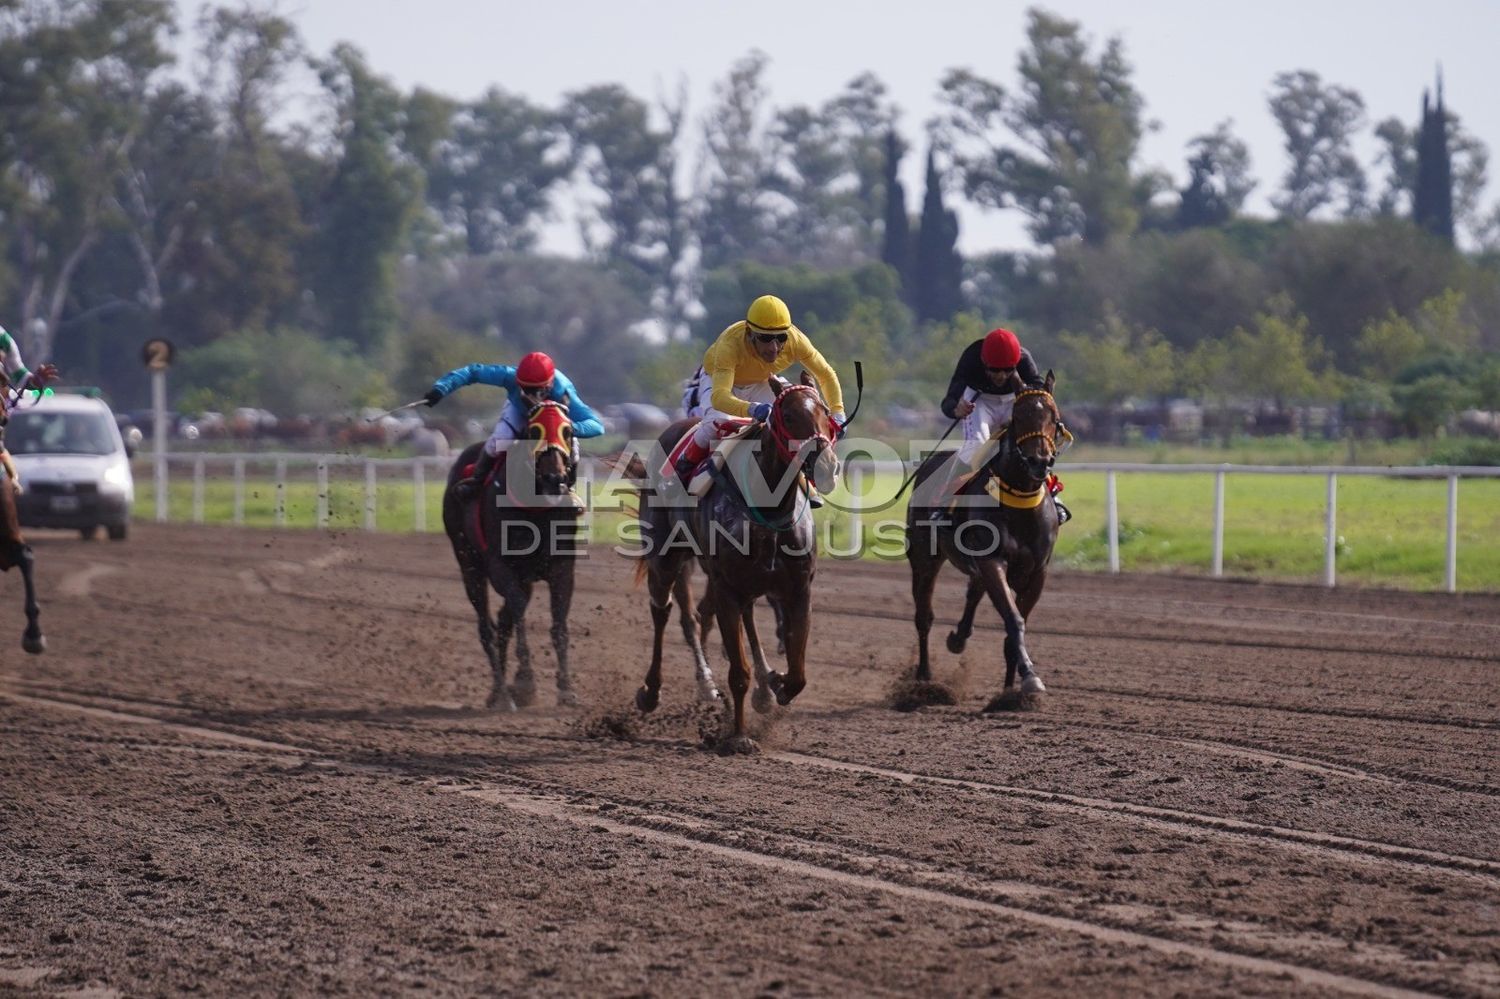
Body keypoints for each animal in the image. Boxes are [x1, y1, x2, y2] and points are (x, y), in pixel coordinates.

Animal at [438, 396, 579, 708]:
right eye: (533, 430)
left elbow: (559, 626)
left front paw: (566, 689)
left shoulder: (562, 568)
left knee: (502, 623)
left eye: (568, 431)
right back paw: (502, 693)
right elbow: (519, 617)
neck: (536, 509)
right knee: (487, 628)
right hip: (470, 565)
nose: (554, 478)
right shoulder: (500, 567)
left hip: (524, 578)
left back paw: (497, 692)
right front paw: (526, 682)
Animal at [636, 378, 846, 750]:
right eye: (788, 416)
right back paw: (653, 691)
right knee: (663, 611)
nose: (824, 466)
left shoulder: (798, 589)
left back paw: (764, 687)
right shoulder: (725, 588)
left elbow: (798, 672)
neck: (770, 508)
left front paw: (777, 684)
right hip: (665, 559)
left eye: (824, 411)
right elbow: (738, 673)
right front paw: (738, 737)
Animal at [900, 372, 1068, 699]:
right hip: (924, 560)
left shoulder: (1038, 572)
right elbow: (1013, 620)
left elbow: (1014, 624)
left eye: (1054, 418)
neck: (1020, 505)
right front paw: (1030, 678)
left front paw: (1011, 690)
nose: (1040, 461)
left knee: (973, 591)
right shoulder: (993, 561)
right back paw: (924, 677)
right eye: (1020, 416)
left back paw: (958, 638)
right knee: (924, 616)